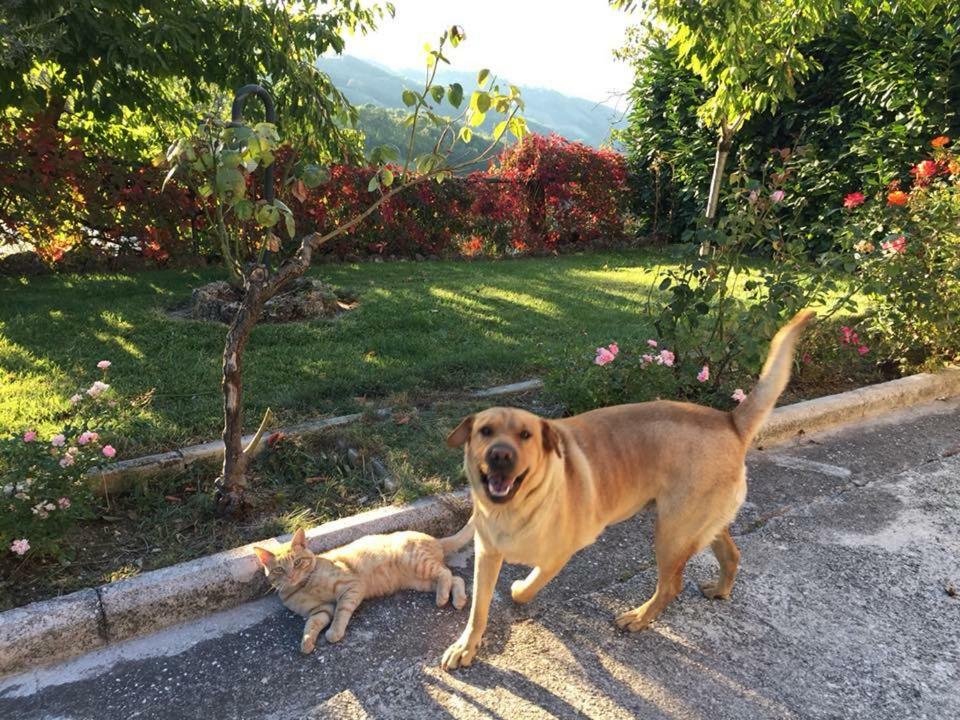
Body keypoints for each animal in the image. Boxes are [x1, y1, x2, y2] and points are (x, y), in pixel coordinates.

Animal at [253, 520, 474, 656]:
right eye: (280, 569)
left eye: (298, 562)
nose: (291, 575)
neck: (303, 585)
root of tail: (435, 539)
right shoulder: (320, 610)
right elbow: (311, 625)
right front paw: (307, 641)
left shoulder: (351, 587)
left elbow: (341, 613)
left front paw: (334, 633)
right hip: (421, 580)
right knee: (456, 578)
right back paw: (457, 599)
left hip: (418, 564)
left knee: (446, 573)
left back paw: (443, 598)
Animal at [438, 308, 812, 668]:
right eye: (485, 431)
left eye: (526, 435)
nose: (500, 455)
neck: (516, 507)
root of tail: (730, 420)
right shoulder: (487, 555)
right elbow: (478, 610)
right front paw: (466, 646)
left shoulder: (558, 556)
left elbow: (524, 589)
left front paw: (517, 590)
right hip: (699, 524)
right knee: (731, 555)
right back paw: (720, 590)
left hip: (672, 533)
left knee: (671, 584)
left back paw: (640, 616)